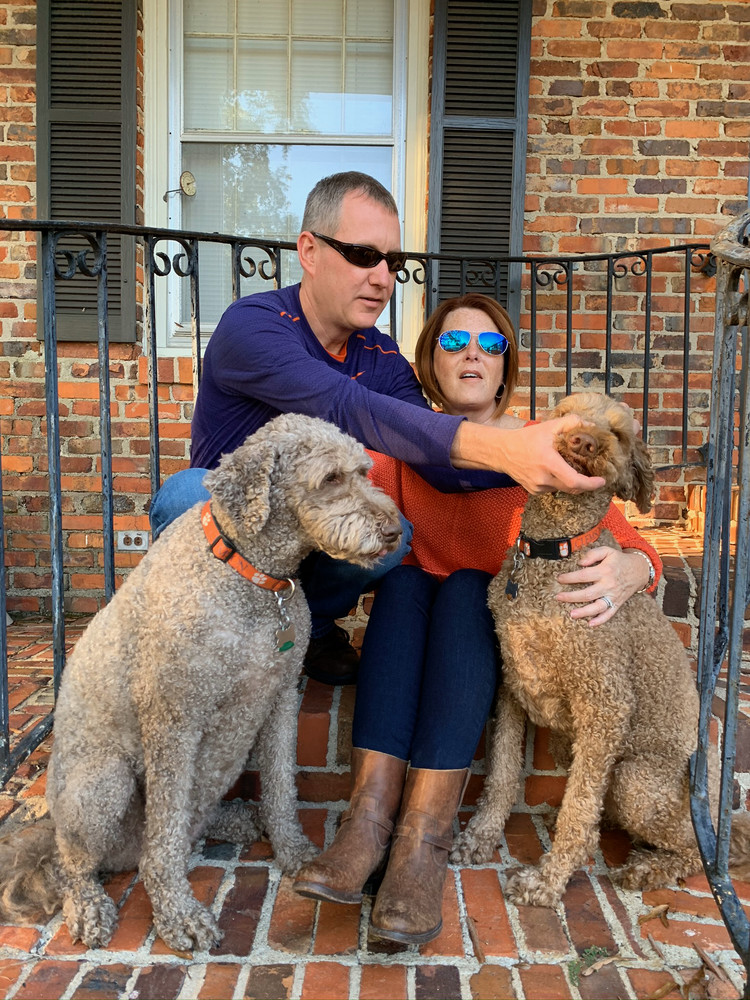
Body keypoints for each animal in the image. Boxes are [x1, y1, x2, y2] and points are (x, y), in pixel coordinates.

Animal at [0, 413, 402, 950]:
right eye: (331, 478)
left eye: (363, 471)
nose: (394, 530)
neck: (248, 573)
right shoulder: (174, 718)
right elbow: (166, 835)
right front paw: (177, 912)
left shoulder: (280, 700)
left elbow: (281, 787)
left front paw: (295, 852)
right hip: (101, 785)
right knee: (81, 863)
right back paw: (88, 907)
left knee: (189, 823)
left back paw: (238, 819)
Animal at [451, 392, 750, 907]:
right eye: (566, 412)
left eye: (620, 434)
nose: (583, 441)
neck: (553, 551)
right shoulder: (513, 685)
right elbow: (503, 774)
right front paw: (482, 836)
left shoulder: (605, 704)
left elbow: (579, 808)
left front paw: (548, 882)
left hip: (639, 781)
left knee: (701, 852)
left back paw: (649, 867)